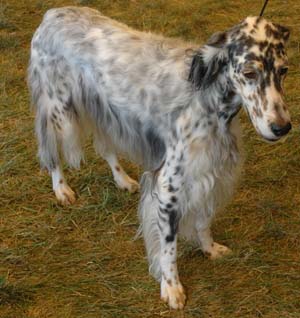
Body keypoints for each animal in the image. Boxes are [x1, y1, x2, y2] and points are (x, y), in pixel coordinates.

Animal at [28, 7, 290, 310]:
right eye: (249, 72)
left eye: (284, 70)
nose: (282, 128)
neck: (208, 102)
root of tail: (53, 13)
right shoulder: (168, 189)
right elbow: (169, 247)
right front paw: (171, 286)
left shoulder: (208, 174)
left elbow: (203, 221)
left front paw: (209, 249)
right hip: (57, 110)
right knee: (51, 152)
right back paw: (62, 189)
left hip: (103, 114)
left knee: (105, 147)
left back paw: (122, 179)